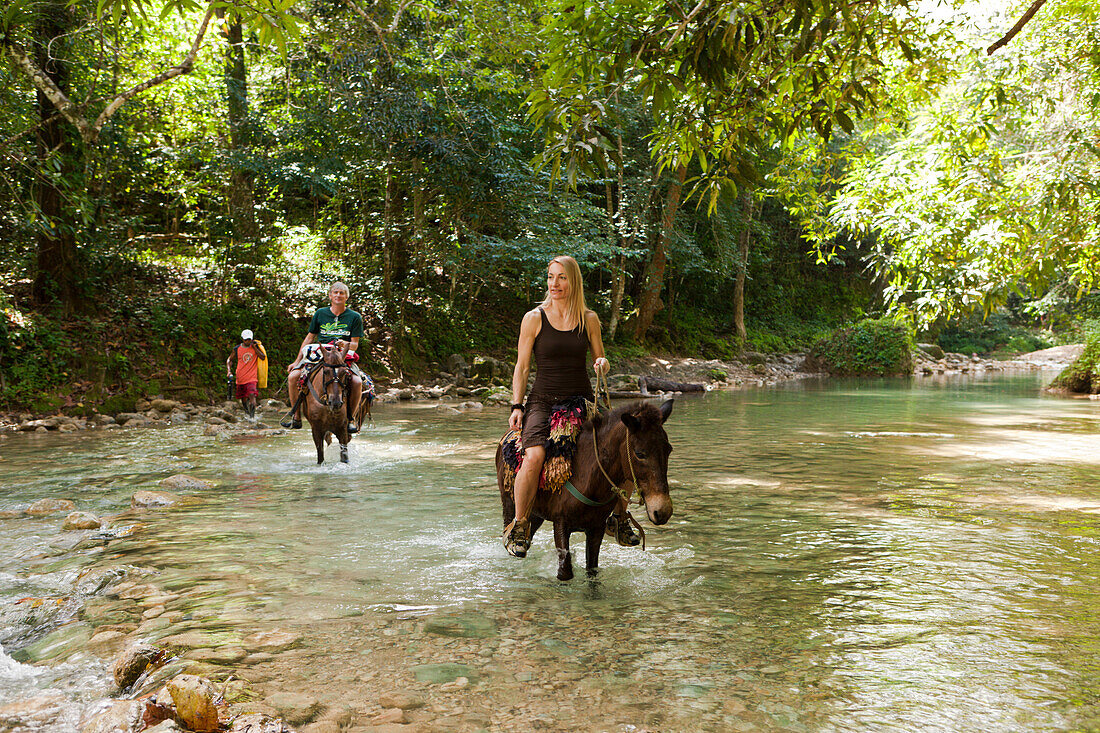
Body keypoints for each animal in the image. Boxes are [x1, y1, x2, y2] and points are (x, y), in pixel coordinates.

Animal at [497, 396, 668, 581]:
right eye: (639, 453)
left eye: (668, 450)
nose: (662, 511)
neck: (588, 477)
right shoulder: (561, 524)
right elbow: (565, 572)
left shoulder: (596, 527)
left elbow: (592, 570)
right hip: (509, 502)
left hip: (536, 513)